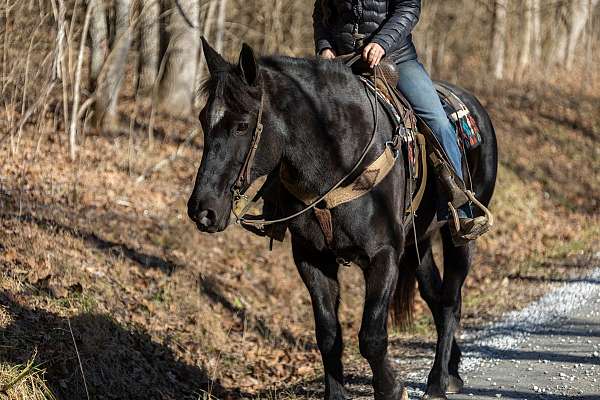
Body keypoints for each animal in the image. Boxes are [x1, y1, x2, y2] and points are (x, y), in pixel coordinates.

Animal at [189, 39, 496, 400]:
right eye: (203, 120)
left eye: (242, 125)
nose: (202, 210)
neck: (335, 158)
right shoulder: (312, 259)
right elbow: (328, 335)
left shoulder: (383, 256)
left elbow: (372, 336)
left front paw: (391, 389)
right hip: (418, 244)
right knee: (435, 297)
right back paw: (452, 369)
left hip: (458, 236)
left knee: (450, 303)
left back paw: (436, 382)